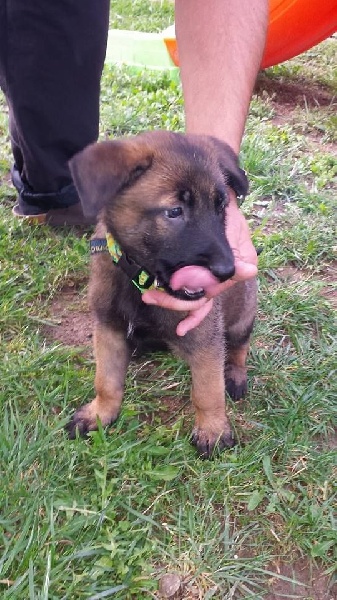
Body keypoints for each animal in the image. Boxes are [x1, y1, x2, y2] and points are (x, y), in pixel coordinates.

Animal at [68, 131, 258, 458]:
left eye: (221, 206)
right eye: (175, 211)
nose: (227, 271)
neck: (140, 278)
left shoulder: (205, 339)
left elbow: (208, 391)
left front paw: (213, 431)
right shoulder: (107, 327)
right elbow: (106, 380)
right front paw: (99, 413)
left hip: (243, 315)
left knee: (238, 348)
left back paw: (234, 374)